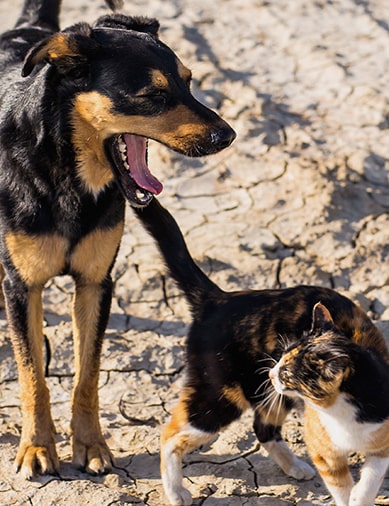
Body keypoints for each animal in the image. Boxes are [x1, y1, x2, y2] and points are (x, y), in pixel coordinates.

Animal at [0, 0, 235, 478]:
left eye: (188, 82)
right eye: (152, 95)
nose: (227, 135)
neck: (67, 177)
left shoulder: (97, 283)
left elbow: (87, 374)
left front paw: (90, 444)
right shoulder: (22, 287)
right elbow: (33, 376)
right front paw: (36, 446)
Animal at [270, 302, 389, 504]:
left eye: (286, 373)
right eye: (281, 356)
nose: (270, 373)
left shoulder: (383, 442)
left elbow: (372, 478)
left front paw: (359, 498)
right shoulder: (323, 452)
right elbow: (340, 487)